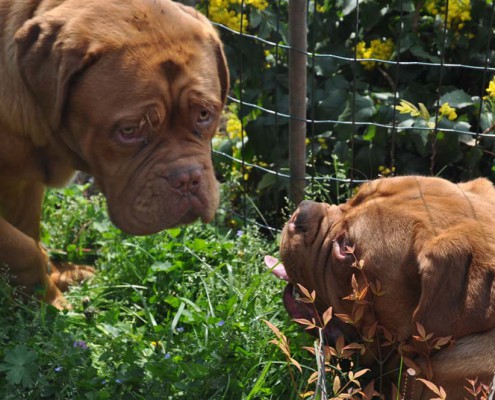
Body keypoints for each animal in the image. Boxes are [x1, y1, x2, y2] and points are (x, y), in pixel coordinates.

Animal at [0, 0, 229, 308]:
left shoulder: (23, 182)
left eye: (205, 114)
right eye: (129, 130)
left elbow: (29, 233)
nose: (187, 179)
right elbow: (23, 249)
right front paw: (52, 303)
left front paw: (50, 282)